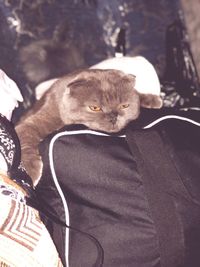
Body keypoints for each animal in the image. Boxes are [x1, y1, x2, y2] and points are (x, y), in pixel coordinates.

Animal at [15, 69, 162, 186]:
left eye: (124, 106)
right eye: (95, 108)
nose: (113, 117)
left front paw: (153, 99)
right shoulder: (37, 121)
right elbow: (26, 137)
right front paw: (30, 171)